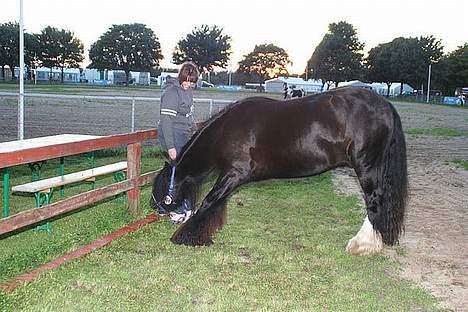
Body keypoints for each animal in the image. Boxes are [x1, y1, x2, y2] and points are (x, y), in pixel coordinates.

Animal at [152, 86, 408, 255]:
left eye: (161, 187)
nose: (154, 207)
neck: (225, 131)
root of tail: (384, 105)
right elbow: (216, 205)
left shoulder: (234, 174)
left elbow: (208, 202)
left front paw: (185, 236)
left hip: (367, 166)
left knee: (374, 201)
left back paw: (362, 244)